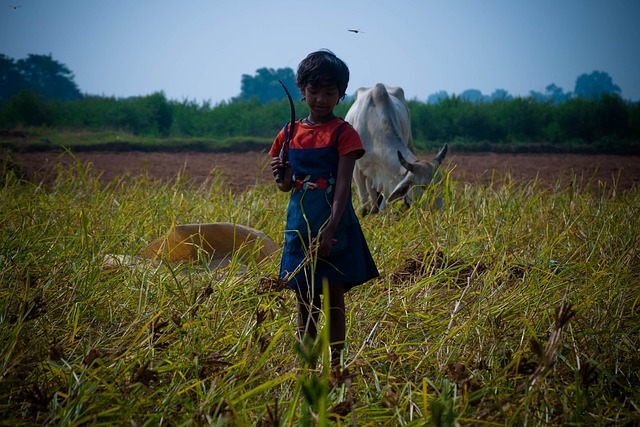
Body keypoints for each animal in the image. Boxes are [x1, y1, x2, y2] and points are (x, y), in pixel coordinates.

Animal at [348, 83, 448, 216]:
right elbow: (364, 200)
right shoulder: (357, 169)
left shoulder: (387, 176)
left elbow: (384, 200)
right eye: (423, 187)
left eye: (441, 185)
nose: (439, 214)